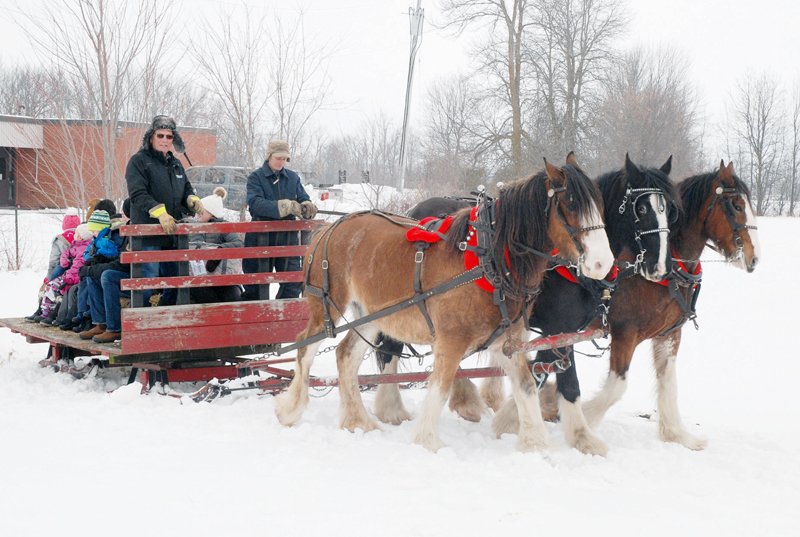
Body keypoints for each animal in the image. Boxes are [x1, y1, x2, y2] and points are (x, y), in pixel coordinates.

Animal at [276, 157, 612, 450]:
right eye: (570, 204)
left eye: (600, 205)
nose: (603, 263)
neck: (489, 259)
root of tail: (329, 228)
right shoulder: (452, 341)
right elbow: (440, 386)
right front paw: (428, 441)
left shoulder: (507, 340)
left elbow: (527, 386)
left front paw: (537, 444)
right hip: (327, 307)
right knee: (305, 346)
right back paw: (291, 408)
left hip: (371, 315)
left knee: (346, 355)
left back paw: (358, 421)